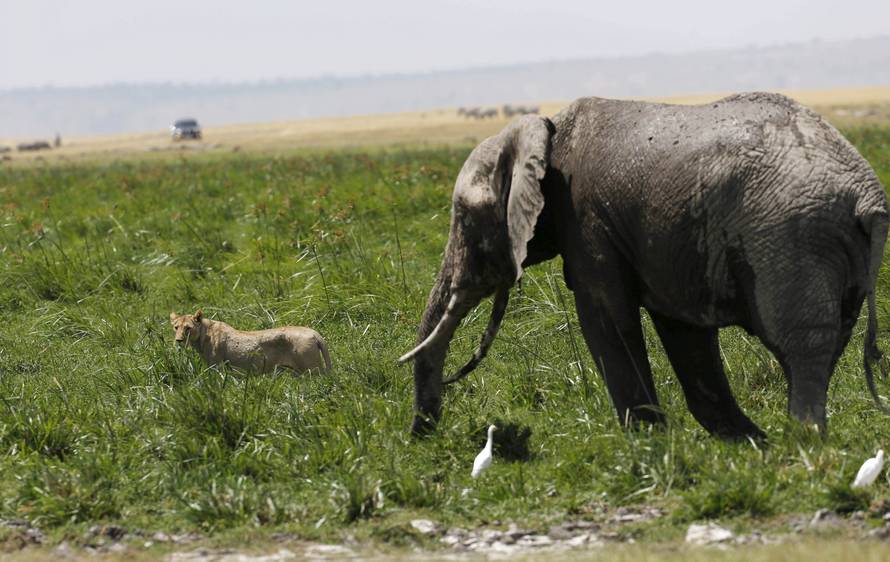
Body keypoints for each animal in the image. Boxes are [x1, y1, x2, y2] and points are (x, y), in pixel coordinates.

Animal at [169, 310, 332, 373]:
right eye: (176, 327)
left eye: (188, 328)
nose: (179, 340)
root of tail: (315, 333)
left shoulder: (217, 367)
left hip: (312, 370)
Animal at [400, 92, 889, 439]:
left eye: (464, 219)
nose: (423, 434)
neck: (545, 127)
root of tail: (866, 196)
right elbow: (683, 330)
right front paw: (747, 445)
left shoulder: (587, 221)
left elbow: (605, 317)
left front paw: (650, 444)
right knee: (828, 343)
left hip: (789, 237)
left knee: (800, 347)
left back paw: (801, 445)